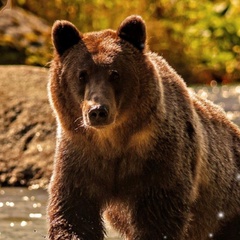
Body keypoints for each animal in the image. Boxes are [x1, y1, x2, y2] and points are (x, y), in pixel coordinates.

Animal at [47, 15, 240, 240]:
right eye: (81, 74)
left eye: (115, 73)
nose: (97, 111)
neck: (113, 139)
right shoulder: (80, 156)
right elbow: (75, 212)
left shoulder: (159, 158)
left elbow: (158, 215)